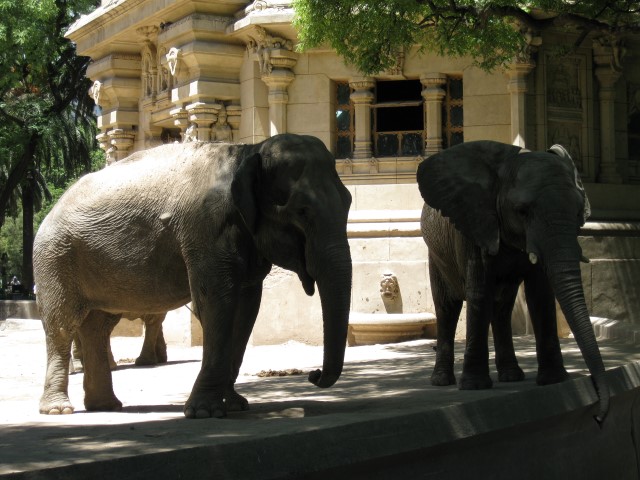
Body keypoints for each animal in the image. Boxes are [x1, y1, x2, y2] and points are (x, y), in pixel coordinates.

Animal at [32, 133, 352, 418]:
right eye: (301, 211)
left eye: (349, 201)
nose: (313, 374)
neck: (247, 152)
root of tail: (51, 210)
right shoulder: (204, 227)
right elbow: (215, 303)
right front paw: (205, 412)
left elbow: (246, 309)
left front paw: (235, 405)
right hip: (54, 259)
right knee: (62, 325)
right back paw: (59, 410)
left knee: (97, 327)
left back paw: (106, 407)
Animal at [420, 141, 608, 422]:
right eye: (522, 211)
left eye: (578, 213)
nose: (598, 415)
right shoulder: (475, 227)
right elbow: (479, 292)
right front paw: (475, 386)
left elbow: (540, 294)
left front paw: (554, 380)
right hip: (437, 254)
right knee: (447, 308)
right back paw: (442, 381)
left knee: (501, 309)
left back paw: (511, 376)